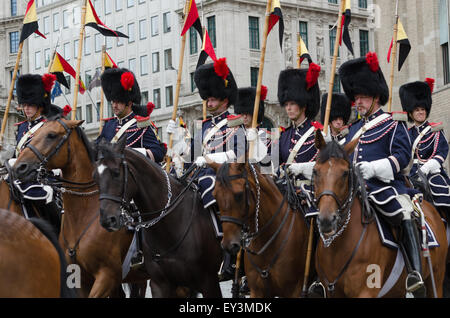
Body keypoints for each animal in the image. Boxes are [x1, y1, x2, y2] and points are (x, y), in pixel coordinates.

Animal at [312, 130, 446, 296]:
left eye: (345, 173)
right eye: (315, 171)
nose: (326, 220)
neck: (337, 247)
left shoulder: (366, 291)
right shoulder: (332, 292)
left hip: (436, 280)